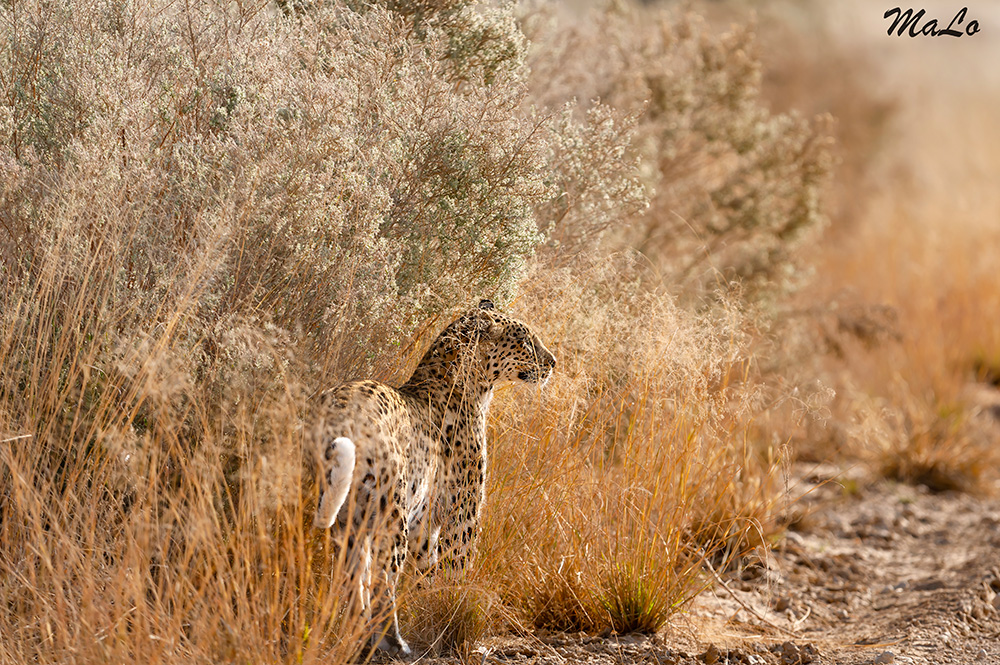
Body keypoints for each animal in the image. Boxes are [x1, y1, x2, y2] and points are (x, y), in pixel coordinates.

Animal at [311, 299, 556, 657]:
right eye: (525, 341)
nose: (553, 362)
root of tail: (341, 410)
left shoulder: (424, 524)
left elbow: (425, 572)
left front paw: (430, 605)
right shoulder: (463, 511)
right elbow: (457, 565)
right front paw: (454, 608)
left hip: (347, 520)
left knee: (353, 582)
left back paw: (358, 640)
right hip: (390, 514)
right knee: (383, 581)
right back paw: (393, 644)